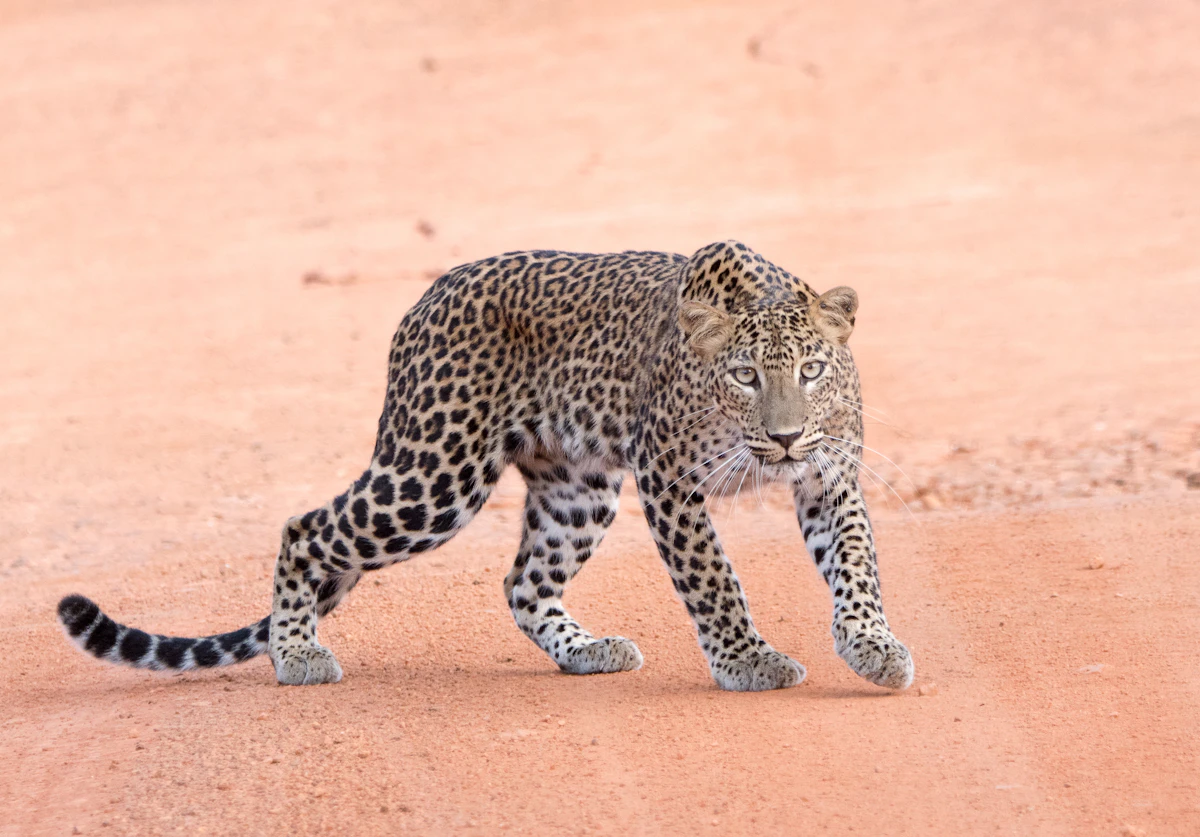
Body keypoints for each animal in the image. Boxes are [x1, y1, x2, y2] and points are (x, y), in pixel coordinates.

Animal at [58, 240, 913, 692]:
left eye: (811, 369)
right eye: (744, 376)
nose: (784, 438)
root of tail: (425, 296)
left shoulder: (830, 477)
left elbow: (858, 567)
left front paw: (873, 646)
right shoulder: (669, 480)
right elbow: (715, 580)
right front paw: (749, 660)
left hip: (577, 491)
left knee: (523, 582)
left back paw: (585, 650)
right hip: (433, 475)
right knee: (306, 528)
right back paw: (297, 652)